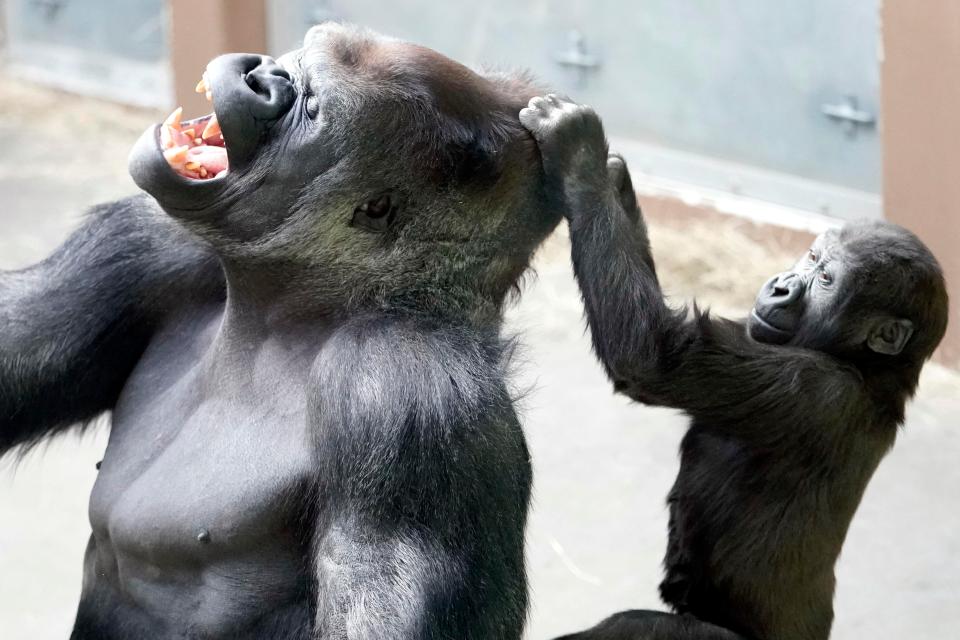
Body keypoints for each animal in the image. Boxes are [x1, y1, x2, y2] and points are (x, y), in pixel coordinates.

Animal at [1, 22, 564, 636]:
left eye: (312, 105)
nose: (261, 74)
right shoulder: (143, 245)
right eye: (300, 60)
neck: (282, 312)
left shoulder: (404, 387)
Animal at [524, 96, 952, 640]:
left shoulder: (811, 388)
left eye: (827, 279)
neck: (866, 367)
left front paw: (579, 157)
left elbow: (656, 354)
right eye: (811, 256)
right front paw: (613, 179)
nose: (782, 285)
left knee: (633, 626)